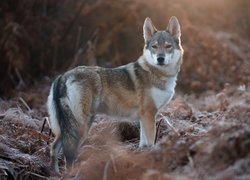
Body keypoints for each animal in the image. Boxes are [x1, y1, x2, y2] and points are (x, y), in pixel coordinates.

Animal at [47, 16, 184, 173]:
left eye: (168, 46)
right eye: (154, 47)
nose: (160, 59)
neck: (158, 74)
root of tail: (63, 76)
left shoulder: (144, 117)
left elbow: (143, 143)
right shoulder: (149, 114)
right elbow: (151, 142)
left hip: (66, 128)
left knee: (53, 147)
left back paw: (55, 173)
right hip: (81, 127)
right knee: (67, 154)